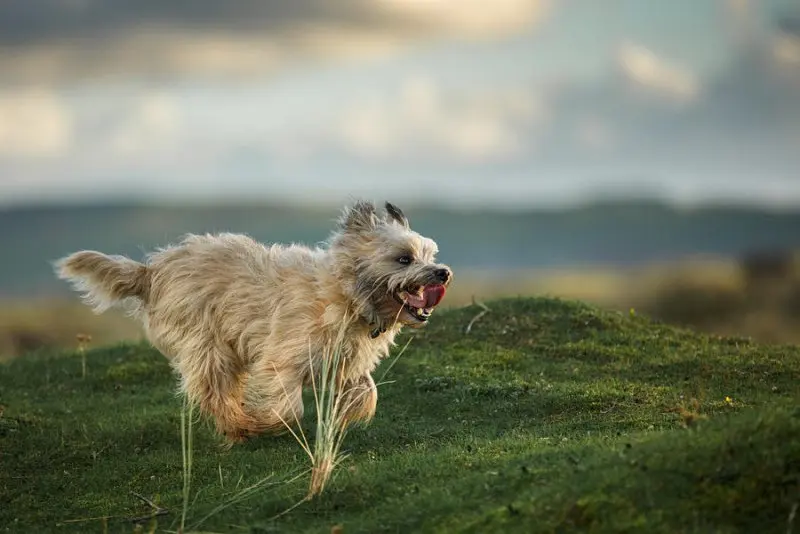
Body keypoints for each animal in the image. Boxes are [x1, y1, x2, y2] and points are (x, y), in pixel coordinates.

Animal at [56, 201, 454, 444]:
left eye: (429, 255)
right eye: (403, 259)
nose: (443, 272)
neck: (345, 294)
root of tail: (151, 272)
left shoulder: (345, 362)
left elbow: (366, 391)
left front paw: (347, 417)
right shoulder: (283, 359)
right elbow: (290, 408)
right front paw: (265, 423)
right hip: (208, 346)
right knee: (214, 392)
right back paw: (239, 426)